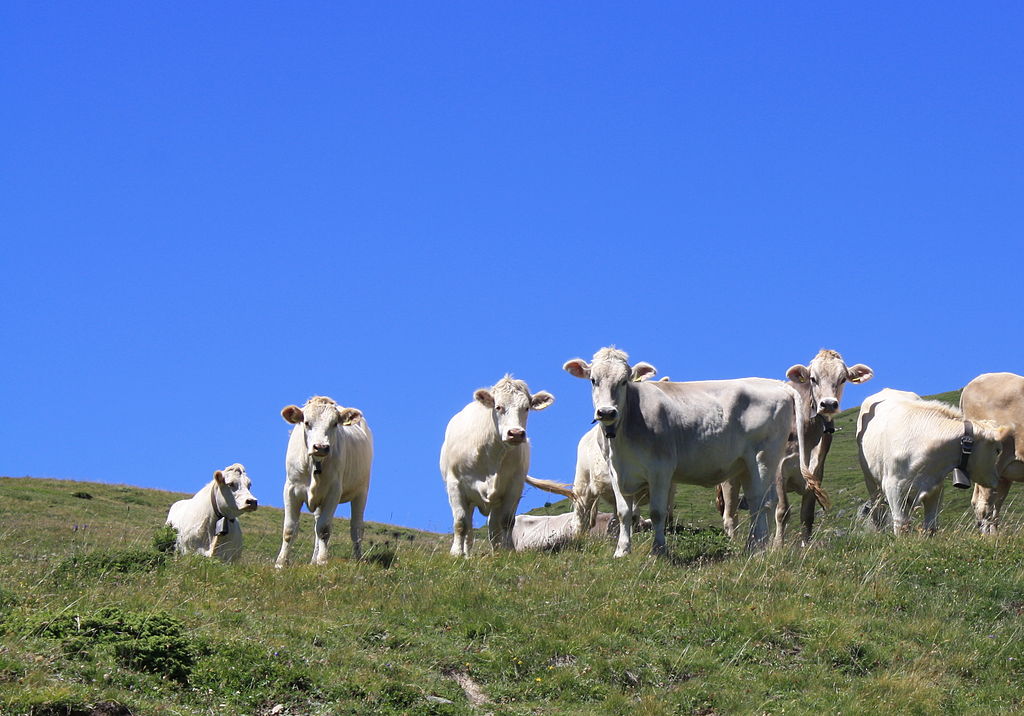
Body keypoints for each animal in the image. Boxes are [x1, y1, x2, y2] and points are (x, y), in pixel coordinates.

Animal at [276, 396, 373, 567]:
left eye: (334, 424)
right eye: (307, 422)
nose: (320, 447)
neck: (314, 463)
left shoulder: (333, 491)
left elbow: (324, 529)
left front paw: (322, 561)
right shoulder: (290, 489)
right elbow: (289, 529)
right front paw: (281, 562)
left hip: (362, 491)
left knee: (356, 527)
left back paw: (358, 558)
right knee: (317, 524)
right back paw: (313, 560)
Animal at [440, 375, 554, 557]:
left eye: (526, 408)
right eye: (498, 407)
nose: (516, 433)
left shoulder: (514, 486)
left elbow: (506, 521)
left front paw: (508, 551)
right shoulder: (455, 484)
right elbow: (460, 522)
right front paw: (456, 553)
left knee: (493, 526)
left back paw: (497, 551)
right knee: (469, 527)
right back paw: (466, 554)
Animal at [564, 347, 812, 557]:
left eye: (624, 381)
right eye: (593, 380)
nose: (607, 412)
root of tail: (777, 384)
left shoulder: (660, 470)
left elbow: (657, 512)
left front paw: (658, 551)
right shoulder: (617, 472)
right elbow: (624, 512)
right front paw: (622, 551)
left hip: (763, 458)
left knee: (763, 502)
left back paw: (757, 550)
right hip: (746, 465)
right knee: (756, 501)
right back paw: (752, 547)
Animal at [718, 349, 873, 547]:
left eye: (843, 378)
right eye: (813, 378)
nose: (828, 404)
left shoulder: (816, 470)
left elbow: (807, 516)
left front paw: (804, 547)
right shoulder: (779, 469)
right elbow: (783, 512)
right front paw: (777, 547)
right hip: (729, 477)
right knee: (730, 515)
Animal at [857, 388, 1013, 534]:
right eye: (997, 450)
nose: (997, 480)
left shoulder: (936, 489)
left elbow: (931, 526)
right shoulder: (894, 488)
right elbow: (901, 525)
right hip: (871, 480)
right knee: (877, 508)